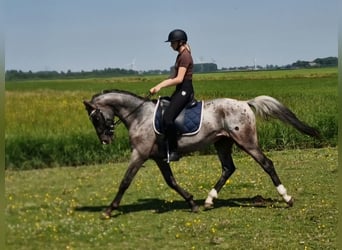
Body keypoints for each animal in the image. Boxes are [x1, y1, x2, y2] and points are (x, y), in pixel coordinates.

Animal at [84, 89, 320, 217]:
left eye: (95, 117)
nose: (105, 140)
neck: (139, 116)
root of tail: (245, 103)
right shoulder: (158, 158)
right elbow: (171, 182)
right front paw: (192, 202)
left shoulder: (139, 154)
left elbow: (125, 181)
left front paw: (109, 210)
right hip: (222, 143)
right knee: (228, 169)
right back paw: (208, 200)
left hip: (246, 141)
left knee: (267, 164)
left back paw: (287, 197)